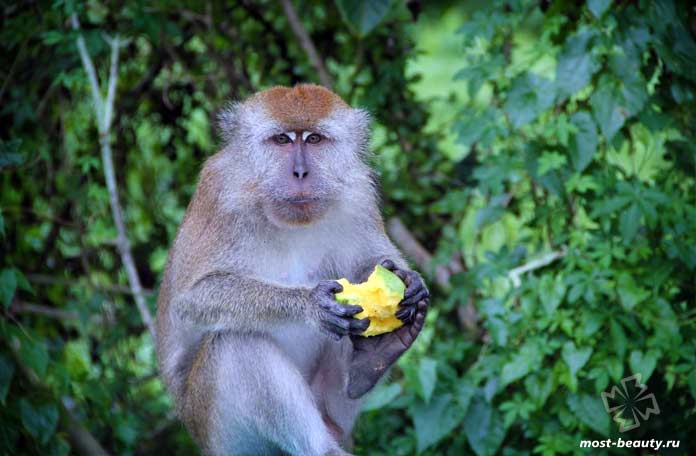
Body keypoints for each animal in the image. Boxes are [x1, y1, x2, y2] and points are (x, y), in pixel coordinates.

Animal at [157, 83, 430, 454]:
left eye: (314, 139)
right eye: (282, 140)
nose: (300, 173)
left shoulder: (359, 193)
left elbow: (371, 258)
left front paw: (408, 279)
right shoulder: (218, 195)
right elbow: (191, 300)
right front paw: (310, 304)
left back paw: (369, 364)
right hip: (218, 430)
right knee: (235, 343)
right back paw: (324, 447)